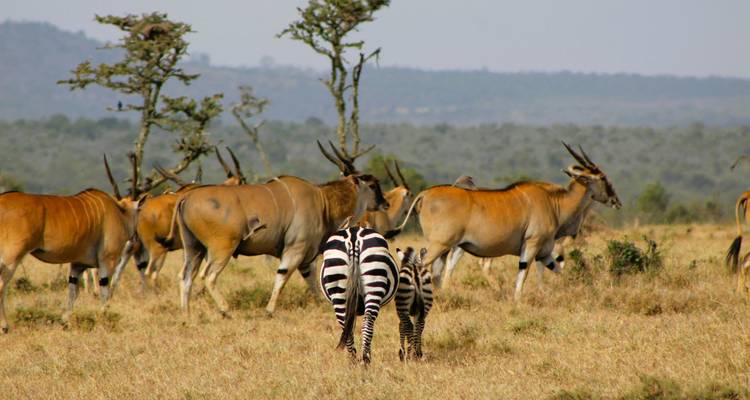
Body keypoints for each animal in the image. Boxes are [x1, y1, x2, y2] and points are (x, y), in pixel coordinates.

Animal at [320, 227, 398, 364]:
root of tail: (353, 237)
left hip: (338, 286)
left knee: (347, 327)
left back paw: (353, 360)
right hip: (374, 282)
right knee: (367, 323)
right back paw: (365, 359)